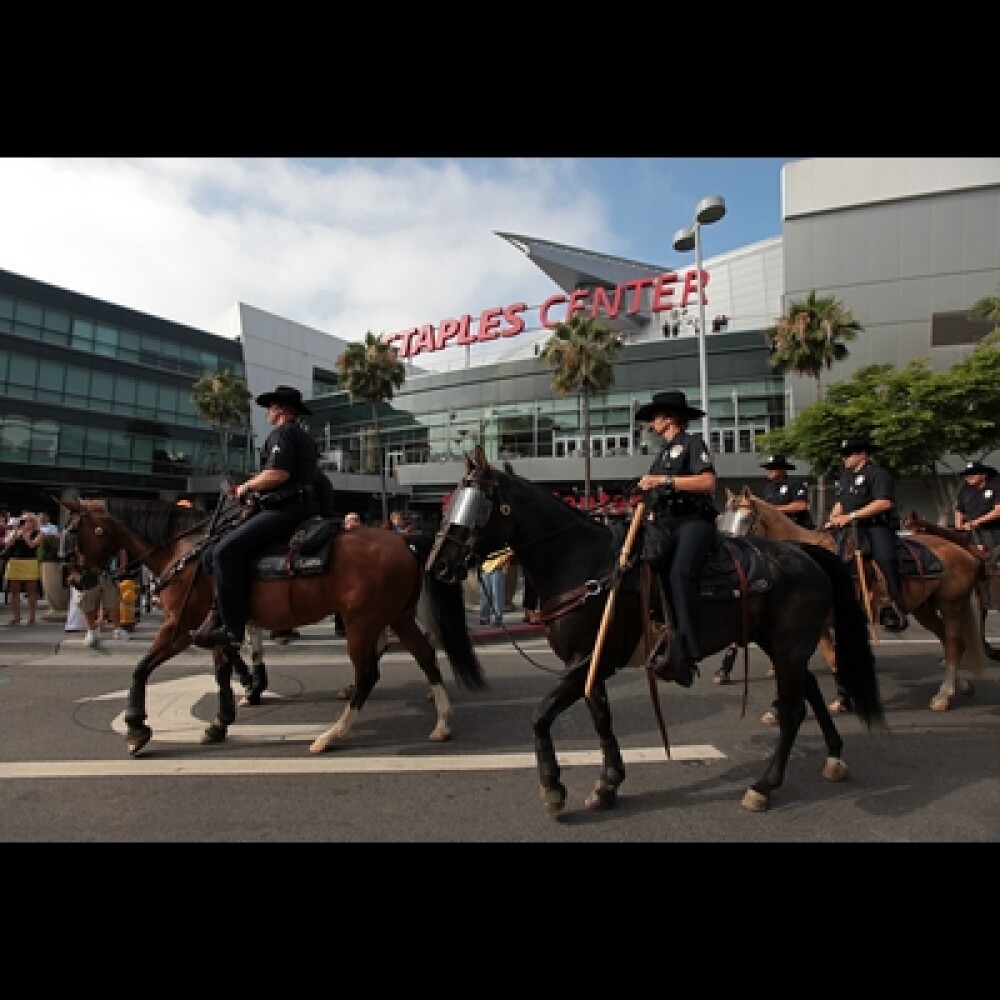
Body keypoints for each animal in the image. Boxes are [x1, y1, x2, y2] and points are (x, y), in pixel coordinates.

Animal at [58, 496, 484, 752]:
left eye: (73, 532)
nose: (75, 578)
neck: (187, 552)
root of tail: (405, 542)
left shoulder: (180, 626)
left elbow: (142, 668)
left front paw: (136, 728)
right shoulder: (219, 625)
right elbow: (223, 669)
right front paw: (223, 719)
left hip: (361, 624)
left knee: (368, 675)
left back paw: (331, 735)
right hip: (396, 616)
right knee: (426, 656)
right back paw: (442, 723)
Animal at [422, 450, 884, 816]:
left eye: (473, 505)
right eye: (450, 503)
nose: (437, 565)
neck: (584, 565)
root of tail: (805, 552)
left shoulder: (588, 661)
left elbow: (541, 716)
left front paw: (553, 788)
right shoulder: (592, 664)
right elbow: (600, 717)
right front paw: (607, 784)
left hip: (788, 648)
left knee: (792, 712)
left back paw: (763, 787)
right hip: (782, 646)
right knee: (811, 692)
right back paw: (834, 756)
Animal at [716, 486, 988, 712]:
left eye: (746, 519)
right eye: (720, 519)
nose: (729, 556)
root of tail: (964, 551)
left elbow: (830, 661)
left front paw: (842, 700)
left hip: (952, 605)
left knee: (953, 643)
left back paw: (944, 695)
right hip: (925, 608)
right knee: (949, 642)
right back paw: (962, 686)